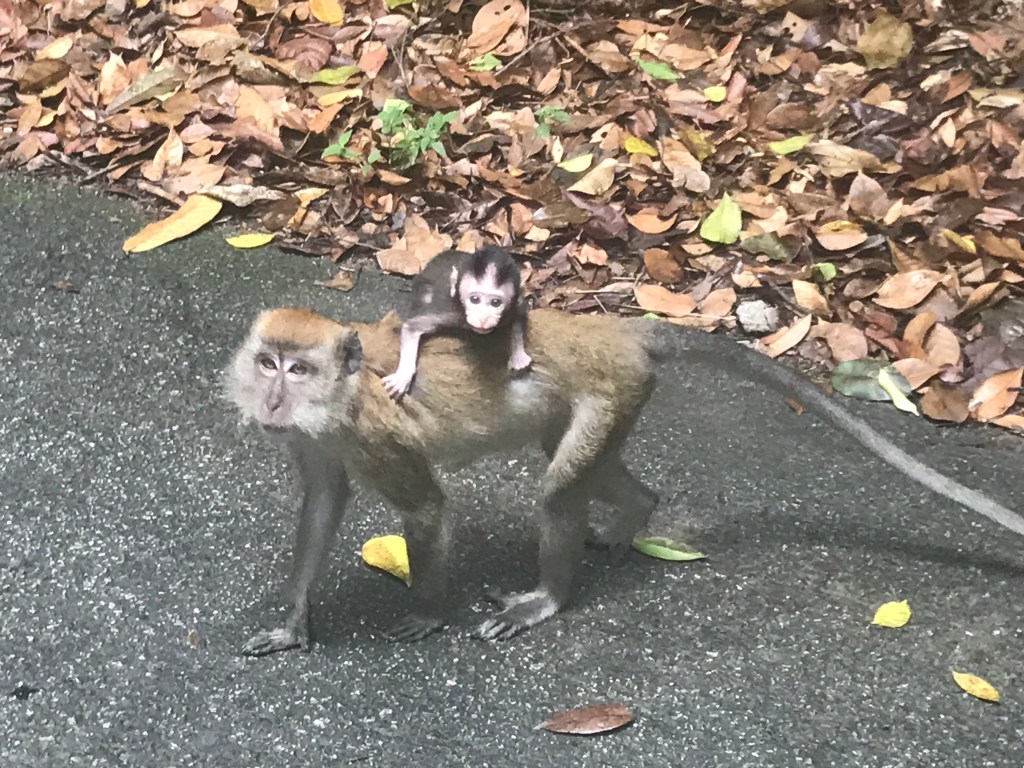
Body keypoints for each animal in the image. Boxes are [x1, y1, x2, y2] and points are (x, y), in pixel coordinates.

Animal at [224, 307, 1024, 656]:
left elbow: (425, 510)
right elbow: (323, 505)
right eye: (268, 362)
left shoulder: (375, 436)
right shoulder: (317, 444)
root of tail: (618, 330)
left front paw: (425, 612)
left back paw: (547, 597)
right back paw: (635, 513)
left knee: (557, 490)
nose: (273, 400)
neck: (339, 400)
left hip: (614, 388)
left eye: (299, 369)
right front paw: (293, 621)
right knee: (587, 468)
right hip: (616, 396)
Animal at [381, 246, 532, 399]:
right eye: (475, 299)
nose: (483, 319)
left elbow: (520, 312)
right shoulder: (451, 313)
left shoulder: (511, 308)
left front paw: (518, 356)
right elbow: (412, 327)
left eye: (495, 303)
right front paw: (403, 376)